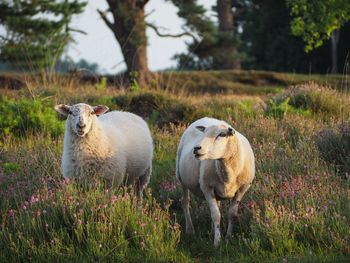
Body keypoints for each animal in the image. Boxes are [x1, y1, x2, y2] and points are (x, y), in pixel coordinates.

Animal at [178, 117, 254, 248]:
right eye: (204, 133)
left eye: (222, 135)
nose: (196, 148)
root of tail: (205, 118)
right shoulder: (206, 187)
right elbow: (216, 215)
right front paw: (217, 243)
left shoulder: (242, 189)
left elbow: (232, 214)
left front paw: (228, 237)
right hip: (181, 177)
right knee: (185, 202)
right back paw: (190, 229)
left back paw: (212, 231)